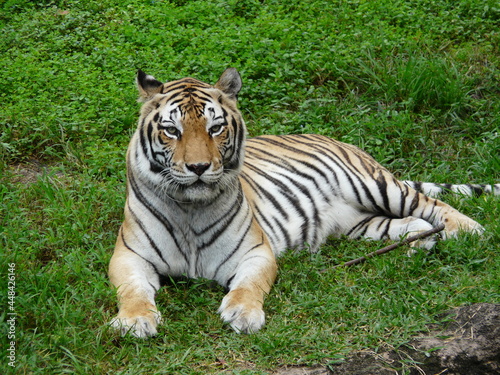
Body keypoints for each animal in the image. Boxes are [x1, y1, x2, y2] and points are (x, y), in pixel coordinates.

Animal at [107, 67, 498, 338]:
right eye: (171, 130)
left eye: (215, 128)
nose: (200, 168)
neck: (190, 208)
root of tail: (335, 138)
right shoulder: (129, 255)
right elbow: (132, 289)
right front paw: (134, 321)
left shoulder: (255, 251)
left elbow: (249, 286)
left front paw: (244, 315)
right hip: (361, 224)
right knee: (415, 223)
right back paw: (420, 245)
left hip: (375, 186)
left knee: (431, 204)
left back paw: (469, 230)